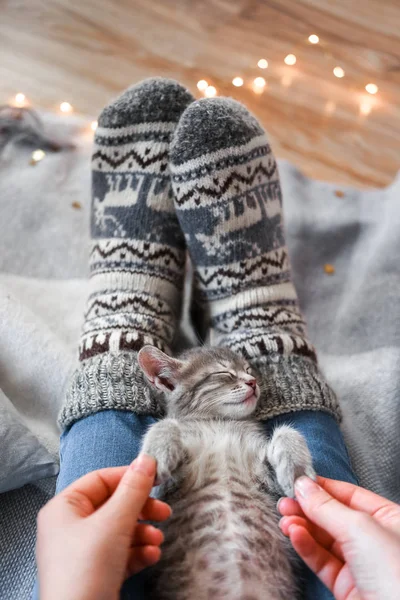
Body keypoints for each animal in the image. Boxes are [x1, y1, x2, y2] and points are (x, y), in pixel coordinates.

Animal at [139, 344, 318, 596]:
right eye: (223, 373)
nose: (253, 382)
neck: (220, 423)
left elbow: (287, 431)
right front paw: (157, 455)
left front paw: (297, 469)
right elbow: (165, 424)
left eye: (248, 369)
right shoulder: (163, 493)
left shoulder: (266, 481)